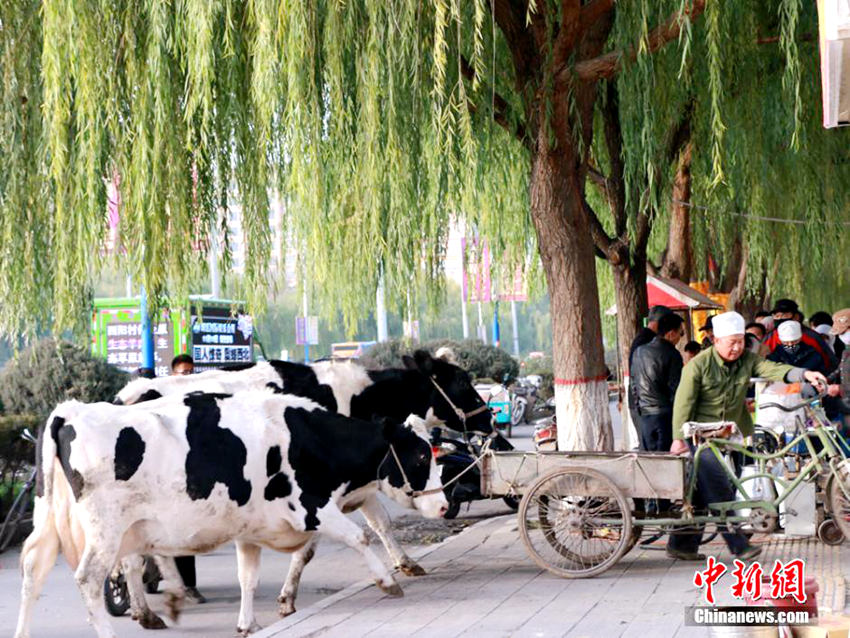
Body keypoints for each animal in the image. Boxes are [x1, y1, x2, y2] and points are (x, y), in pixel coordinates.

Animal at [16, 390, 448, 638]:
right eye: (420, 456)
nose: (443, 504)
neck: (310, 437)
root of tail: (71, 411)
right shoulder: (312, 507)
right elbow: (359, 536)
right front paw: (388, 582)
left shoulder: (251, 527)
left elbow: (250, 577)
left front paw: (249, 622)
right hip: (105, 528)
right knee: (90, 578)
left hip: (51, 520)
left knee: (34, 570)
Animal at [115, 350, 506, 620]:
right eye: (463, 383)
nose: (490, 419)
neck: (359, 396)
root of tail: (129, 393)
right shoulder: (317, 491)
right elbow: (312, 547)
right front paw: (287, 597)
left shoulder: (358, 478)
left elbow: (380, 522)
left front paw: (406, 562)